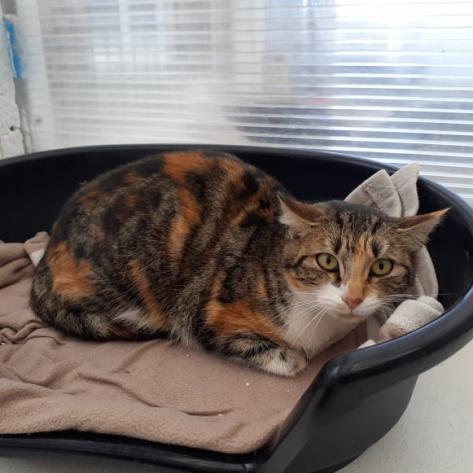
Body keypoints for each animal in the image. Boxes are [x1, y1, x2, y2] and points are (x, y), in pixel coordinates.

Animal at [30, 150, 446, 376]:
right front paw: (291, 357)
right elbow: (264, 350)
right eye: (327, 261)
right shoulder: (206, 313)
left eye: (381, 267)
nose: (354, 298)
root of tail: (49, 251)